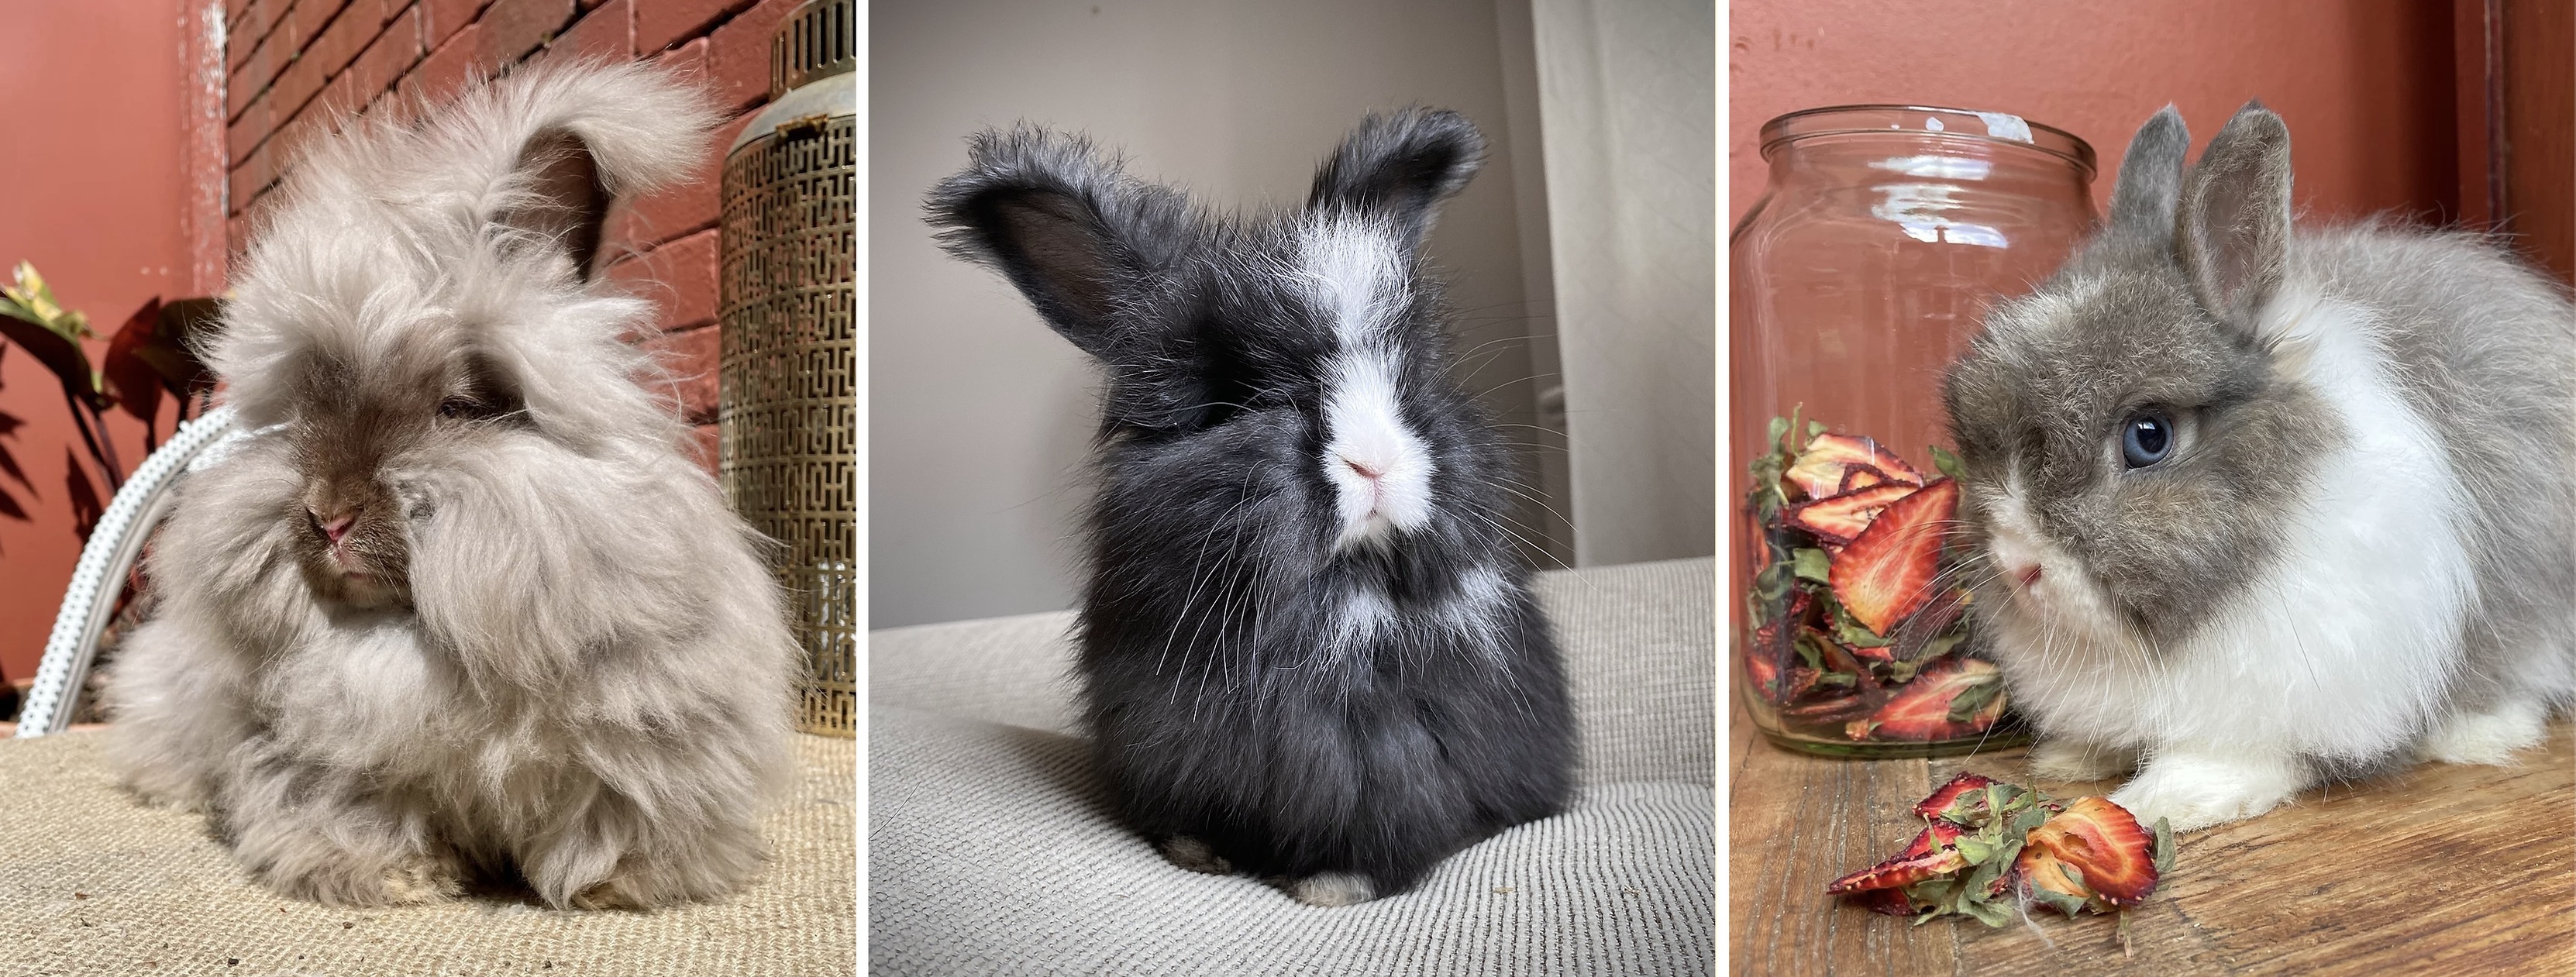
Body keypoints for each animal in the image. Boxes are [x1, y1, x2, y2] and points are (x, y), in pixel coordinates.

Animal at [97, 61, 800, 908]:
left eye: (459, 406)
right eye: (301, 414)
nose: (327, 516)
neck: (418, 647)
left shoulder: (644, 741)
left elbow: (614, 814)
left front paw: (621, 882)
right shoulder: (321, 759)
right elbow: (349, 807)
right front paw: (387, 877)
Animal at [925, 109, 1576, 905]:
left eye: (1412, 374)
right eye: (1238, 398)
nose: (1375, 461)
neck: (1325, 611)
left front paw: (1331, 886)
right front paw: (1197, 852)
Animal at [1941, 101, 2576, 832]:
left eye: (2148, 436)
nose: (2017, 561)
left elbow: (2239, 754)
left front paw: (2167, 798)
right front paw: (2069, 757)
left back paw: (2479, 732)